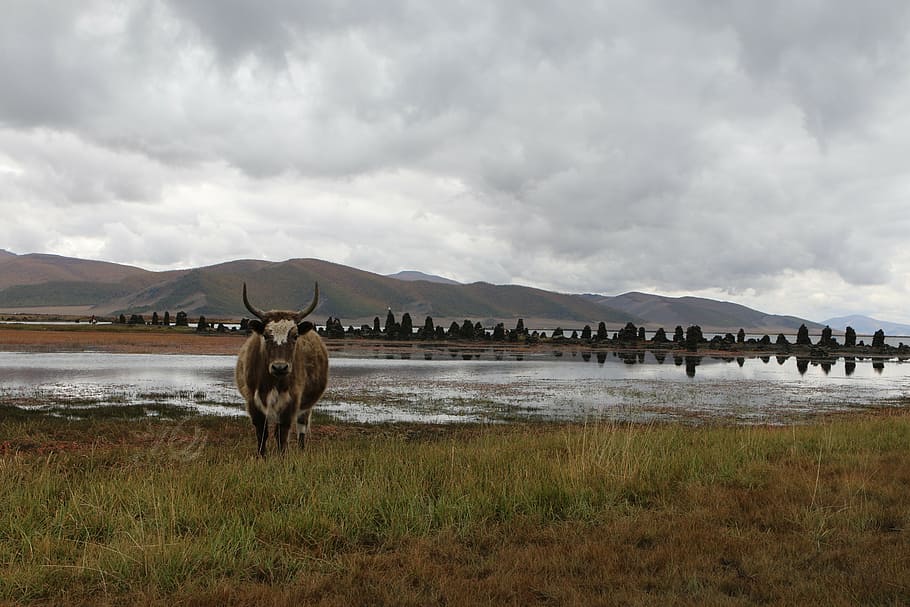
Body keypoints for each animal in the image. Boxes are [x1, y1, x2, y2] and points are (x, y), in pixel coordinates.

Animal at [235, 282, 329, 456]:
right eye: (266, 335)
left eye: (295, 336)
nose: (280, 367)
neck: (273, 381)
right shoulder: (253, 403)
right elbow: (262, 433)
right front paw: (261, 457)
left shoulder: (290, 404)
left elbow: (282, 435)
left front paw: (282, 457)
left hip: (306, 406)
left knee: (301, 427)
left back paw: (301, 450)